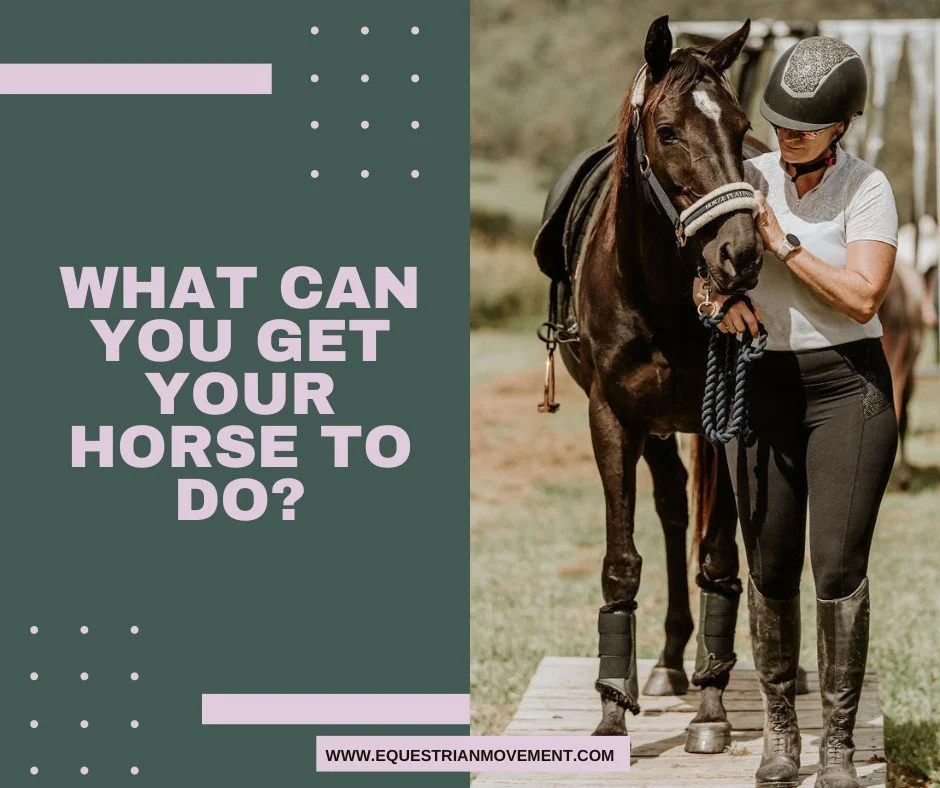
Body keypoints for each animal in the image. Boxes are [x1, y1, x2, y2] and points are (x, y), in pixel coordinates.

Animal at [541, 16, 771, 752]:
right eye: (667, 132)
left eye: (739, 127)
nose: (740, 254)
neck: (660, 295)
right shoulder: (614, 418)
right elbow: (623, 559)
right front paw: (614, 704)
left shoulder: (727, 422)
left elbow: (719, 558)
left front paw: (713, 707)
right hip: (656, 428)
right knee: (671, 510)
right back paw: (667, 663)